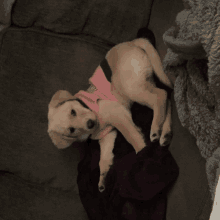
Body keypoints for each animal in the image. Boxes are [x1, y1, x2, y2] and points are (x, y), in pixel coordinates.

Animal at [48, 37, 174, 192]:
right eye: (71, 130)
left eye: (73, 111)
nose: (90, 123)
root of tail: (131, 42)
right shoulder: (107, 136)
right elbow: (104, 159)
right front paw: (102, 179)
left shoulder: (118, 114)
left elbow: (131, 136)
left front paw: (143, 153)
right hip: (144, 83)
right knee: (166, 98)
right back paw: (165, 132)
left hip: (132, 88)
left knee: (161, 96)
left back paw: (156, 128)